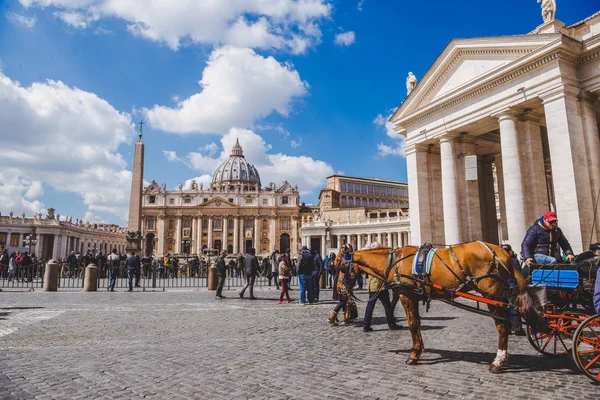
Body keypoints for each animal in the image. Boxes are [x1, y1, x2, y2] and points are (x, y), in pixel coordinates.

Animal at [336, 242, 548, 374]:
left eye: (341, 266)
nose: (339, 289)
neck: (393, 263)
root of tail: (503, 253)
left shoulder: (406, 295)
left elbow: (412, 325)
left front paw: (413, 356)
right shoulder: (414, 296)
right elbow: (417, 324)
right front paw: (419, 351)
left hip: (491, 296)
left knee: (502, 327)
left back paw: (498, 362)